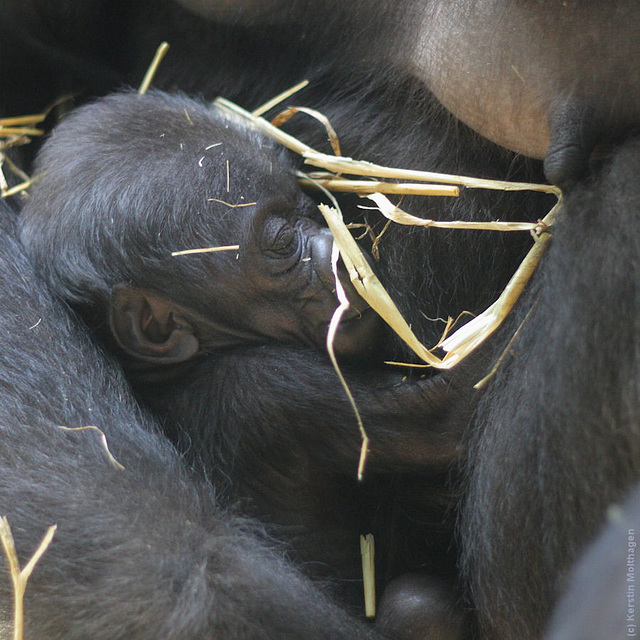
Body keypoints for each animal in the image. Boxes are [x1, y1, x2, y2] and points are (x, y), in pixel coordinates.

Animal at [21, 92, 470, 636]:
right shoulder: (266, 386)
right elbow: (448, 416)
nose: (341, 255)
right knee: (419, 606)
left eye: (307, 212)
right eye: (280, 243)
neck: (190, 365)